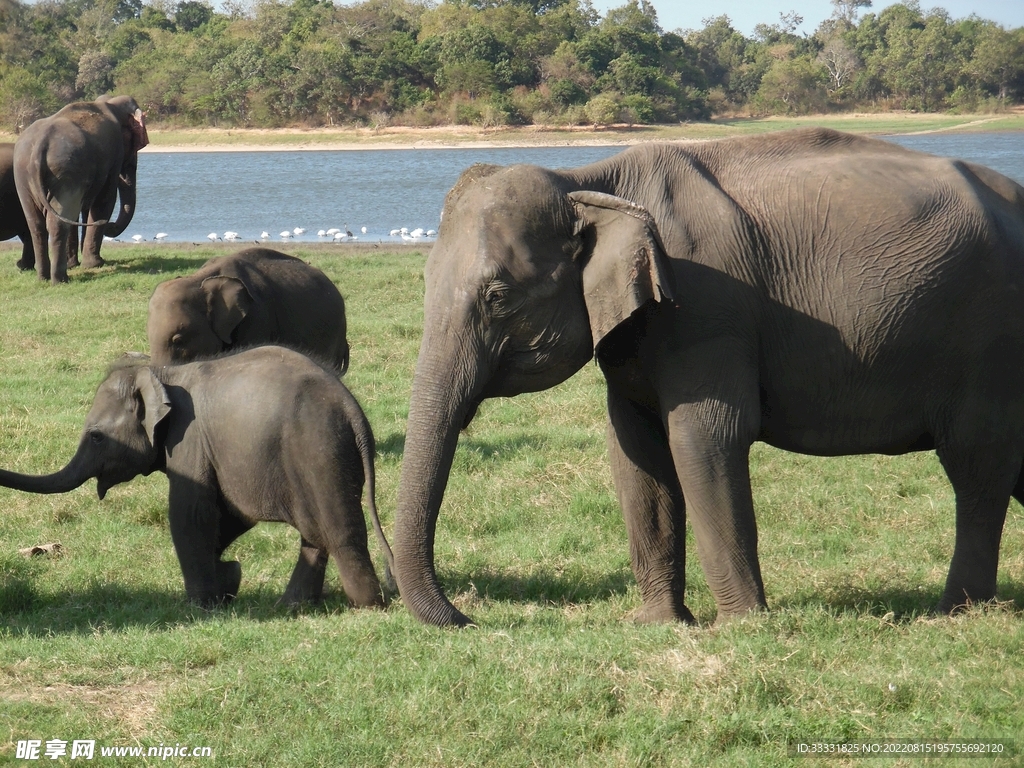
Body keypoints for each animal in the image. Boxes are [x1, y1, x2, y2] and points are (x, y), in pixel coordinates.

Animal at [0, 346, 394, 608]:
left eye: (96, 436)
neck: (163, 373)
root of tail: (352, 410)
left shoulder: (189, 440)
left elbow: (190, 512)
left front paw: (204, 604)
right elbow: (229, 515)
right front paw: (229, 579)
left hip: (319, 451)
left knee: (339, 531)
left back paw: (367, 604)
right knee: (314, 535)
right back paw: (292, 606)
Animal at [14, 94, 148, 284]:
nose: (111, 226)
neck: (110, 102)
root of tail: (40, 144)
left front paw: (77, 264)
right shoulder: (114, 153)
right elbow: (105, 200)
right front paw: (95, 264)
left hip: (23, 177)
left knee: (37, 224)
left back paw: (43, 278)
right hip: (65, 170)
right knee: (59, 221)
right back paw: (61, 280)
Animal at [391, 126, 1024, 627]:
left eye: (498, 296)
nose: (470, 617)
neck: (589, 180)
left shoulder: (705, 308)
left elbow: (703, 437)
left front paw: (741, 625)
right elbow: (635, 449)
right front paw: (658, 624)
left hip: (989, 342)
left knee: (977, 467)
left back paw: (953, 614)